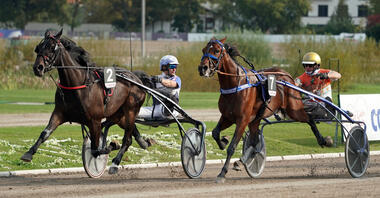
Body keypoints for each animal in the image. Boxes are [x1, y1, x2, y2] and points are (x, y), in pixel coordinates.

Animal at [20, 28, 147, 174]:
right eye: (38, 48)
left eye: (52, 47)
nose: (38, 68)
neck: (78, 85)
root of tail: (136, 78)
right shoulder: (59, 113)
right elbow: (45, 133)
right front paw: (28, 153)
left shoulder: (94, 121)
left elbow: (96, 150)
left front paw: (111, 145)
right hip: (118, 114)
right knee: (128, 133)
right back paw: (143, 142)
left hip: (131, 110)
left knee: (127, 139)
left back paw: (115, 164)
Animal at [197, 37, 332, 183]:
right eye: (203, 50)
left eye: (216, 50)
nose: (202, 68)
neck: (235, 85)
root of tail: (287, 75)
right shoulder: (227, 117)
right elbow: (215, 132)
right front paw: (223, 142)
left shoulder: (242, 120)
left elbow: (232, 147)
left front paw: (222, 173)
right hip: (256, 119)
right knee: (255, 142)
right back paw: (242, 161)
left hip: (294, 109)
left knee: (310, 119)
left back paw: (323, 140)